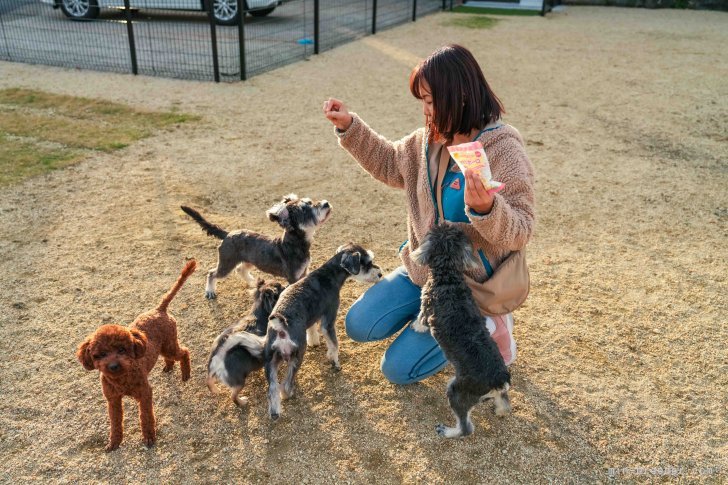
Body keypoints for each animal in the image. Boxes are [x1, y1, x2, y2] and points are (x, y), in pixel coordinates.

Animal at [181, 194, 332, 298]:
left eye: (310, 202)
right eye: (305, 211)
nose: (326, 203)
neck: (294, 244)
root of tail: (228, 234)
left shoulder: (304, 272)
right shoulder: (293, 277)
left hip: (250, 261)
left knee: (240, 269)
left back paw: (252, 282)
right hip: (227, 263)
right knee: (212, 273)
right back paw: (210, 291)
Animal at [206, 278, 286, 406]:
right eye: (281, 288)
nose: (288, 284)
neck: (260, 314)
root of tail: (219, 357)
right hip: (240, 382)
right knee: (233, 396)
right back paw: (242, 402)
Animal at [264, 244, 384, 418]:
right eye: (367, 263)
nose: (380, 273)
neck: (329, 274)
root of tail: (281, 327)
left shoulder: (313, 316)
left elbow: (313, 331)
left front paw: (315, 342)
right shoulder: (329, 320)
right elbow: (334, 344)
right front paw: (335, 362)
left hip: (270, 361)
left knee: (272, 388)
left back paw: (275, 412)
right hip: (297, 355)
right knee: (285, 384)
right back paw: (288, 394)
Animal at [410, 223, 512, 438]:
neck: (448, 278)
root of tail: (498, 379)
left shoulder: (426, 307)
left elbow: (420, 320)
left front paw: (415, 326)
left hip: (457, 391)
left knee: (466, 428)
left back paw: (447, 431)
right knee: (504, 402)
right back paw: (500, 410)